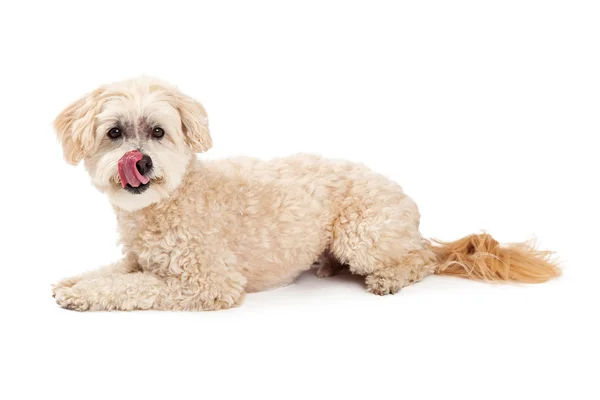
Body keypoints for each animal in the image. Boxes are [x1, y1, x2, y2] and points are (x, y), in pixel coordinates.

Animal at [51, 76, 564, 310]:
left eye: (158, 132)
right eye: (115, 133)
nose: (140, 161)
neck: (171, 200)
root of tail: (409, 208)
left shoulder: (208, 283)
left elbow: (133, 287)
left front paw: (83, 295)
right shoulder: (139, 259)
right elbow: (116, 271)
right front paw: (75, 281)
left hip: (363, 234)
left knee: (419, 260)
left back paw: (390, 277)